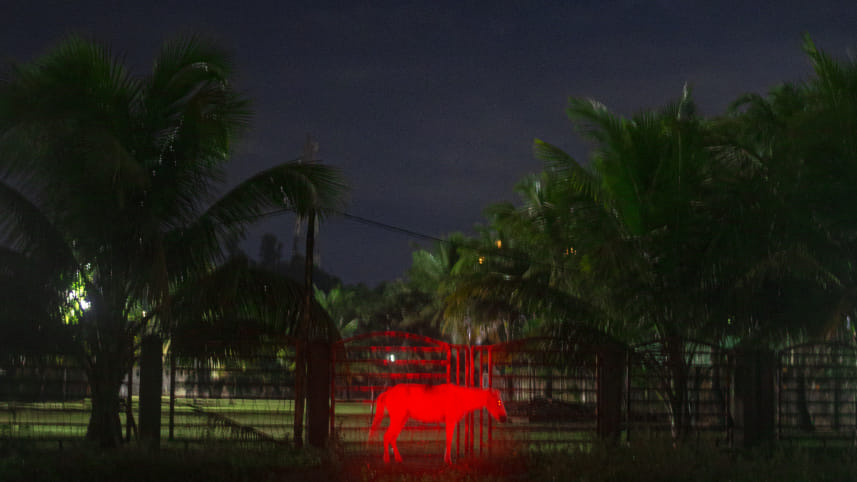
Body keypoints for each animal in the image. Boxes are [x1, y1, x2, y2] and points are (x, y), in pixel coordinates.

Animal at [368, 383, 508, 464]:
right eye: (498, 402)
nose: (504, 418)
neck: (460, 397)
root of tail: (388, 392)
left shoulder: (449, 421)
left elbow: (448, 440)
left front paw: (446, 459)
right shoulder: (450, 420)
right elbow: (449, 440)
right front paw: (449, 461)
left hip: (401, 420)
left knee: (392, 438)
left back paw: (398, 459)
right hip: (398, 419)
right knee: (387, 436)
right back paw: (387, 460)